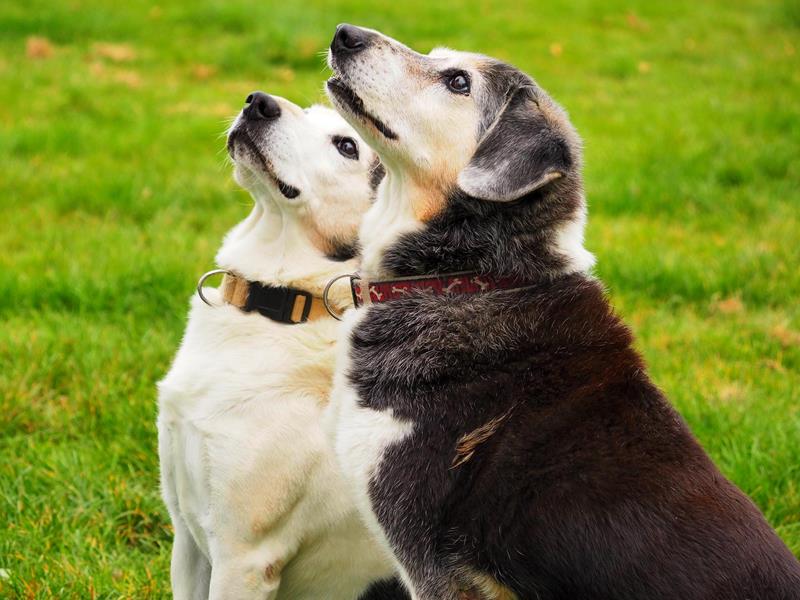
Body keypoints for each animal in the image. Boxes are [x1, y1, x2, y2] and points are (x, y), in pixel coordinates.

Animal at [158, 92, 398, 600]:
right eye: (307, 110)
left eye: (347, 145)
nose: (259, 102)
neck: (286, 303)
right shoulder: (186, 534)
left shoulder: (244, 557)